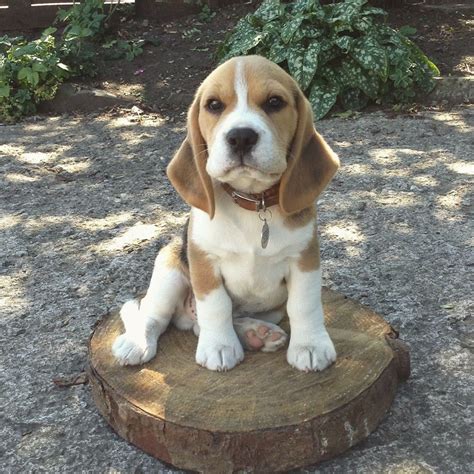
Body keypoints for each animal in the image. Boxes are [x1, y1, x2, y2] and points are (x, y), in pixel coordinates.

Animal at [112, 55, 338, 372]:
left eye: (274, 102)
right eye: (214, 105)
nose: (241, 137)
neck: (254, 203)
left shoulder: (305, 258)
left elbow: (304, 304)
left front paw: (310, 345)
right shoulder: (203, 260)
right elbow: (216, 306)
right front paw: (219, 346)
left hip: (270, 308)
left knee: (207, 323)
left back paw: (256, 332)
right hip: (168, 268)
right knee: (155, 315)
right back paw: (136, 342)